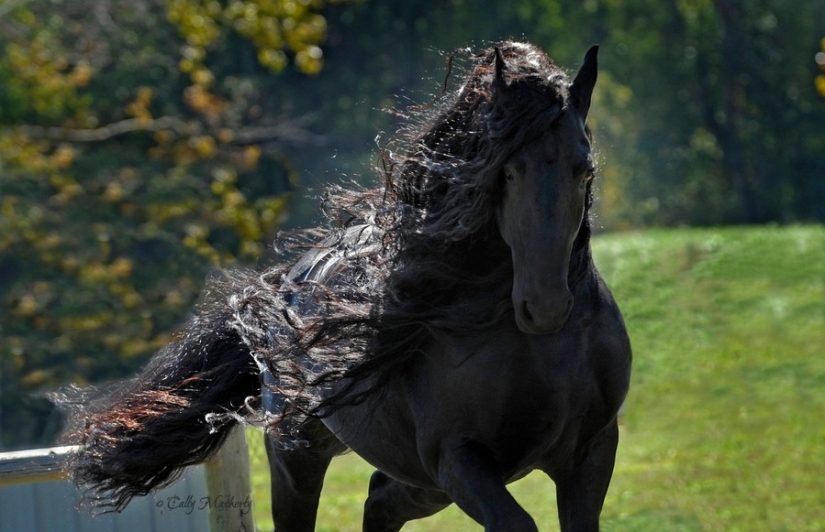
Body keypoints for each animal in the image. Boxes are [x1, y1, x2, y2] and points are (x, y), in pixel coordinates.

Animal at [56, 41, 632, 532]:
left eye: (584, 170)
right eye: (508, 172)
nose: (545, 306)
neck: (537, 353)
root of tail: (284, 287)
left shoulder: (590, 452)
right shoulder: (459, 458)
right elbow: (515, 522)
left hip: (418, 481)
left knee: (379, 502)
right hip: (302, 457)